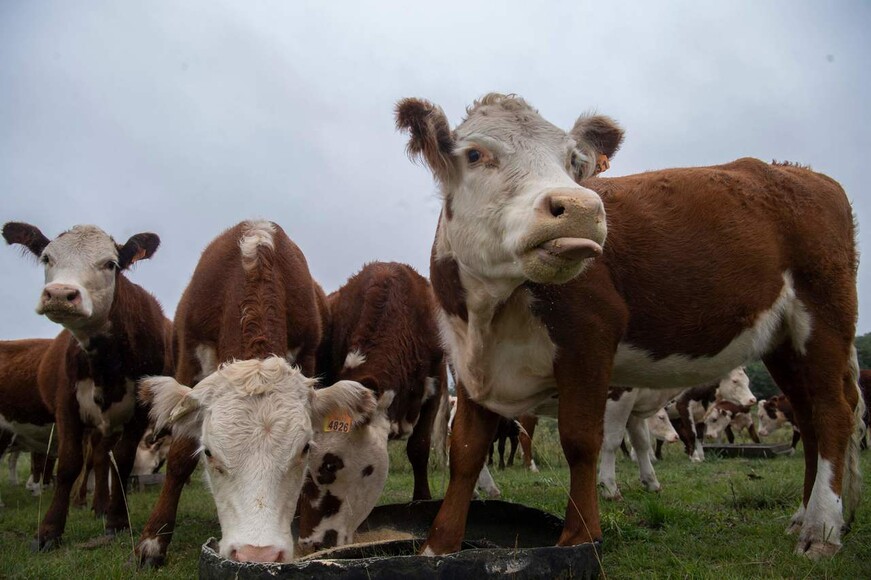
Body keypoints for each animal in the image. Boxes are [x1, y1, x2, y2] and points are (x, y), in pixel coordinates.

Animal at [1, 220, 169, 552]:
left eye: (110, 264)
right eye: (47, 258)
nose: (60, 294)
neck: (106, 360)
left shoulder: (139, 412)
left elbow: (123, 460)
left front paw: (117, 520)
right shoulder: (66, 405)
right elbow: (69, 464)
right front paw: (49, 530)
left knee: (104, 458)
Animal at [136, 220, 374, 564]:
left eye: (305, 448)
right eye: (208, 452)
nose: (257, 554)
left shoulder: (306, 356)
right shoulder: (189, 361)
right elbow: (179, 455)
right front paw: (154, 540)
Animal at [400, 94, 864, 556]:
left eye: (573, 160)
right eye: (475, 154)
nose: (582, 208)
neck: (491, 312)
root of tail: (801, 173)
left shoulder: (590, 341)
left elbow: (583, 440)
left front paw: (580, 535)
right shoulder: (469, 363)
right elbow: (466, 450)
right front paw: (439, 546)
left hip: (824, 316)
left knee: (833, 413)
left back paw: (821, 529)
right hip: (785, 345)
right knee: (808, 417)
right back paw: (802, 517)